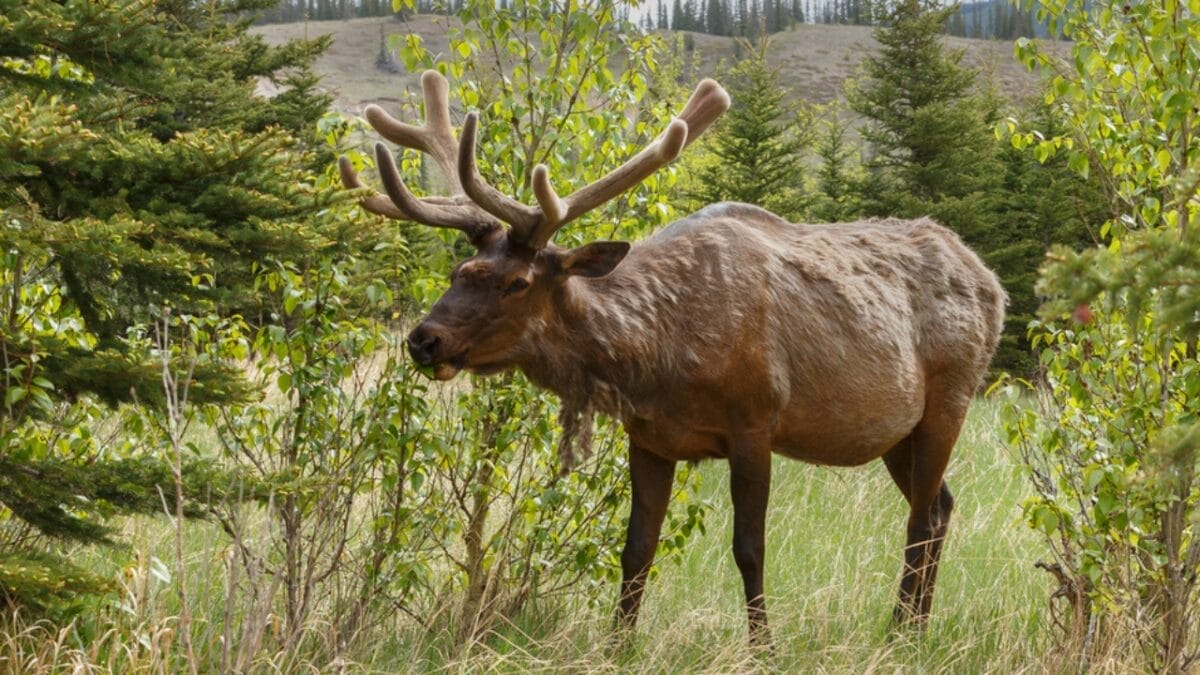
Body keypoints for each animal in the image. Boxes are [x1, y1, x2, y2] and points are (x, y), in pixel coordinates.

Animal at [339, 71, 1006, 645]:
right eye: (459, 270)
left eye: (517, 283)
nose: (424, 340)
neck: (660, 358)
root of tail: (992, 281)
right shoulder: (650, 439)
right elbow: (636, 549)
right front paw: (617, 646)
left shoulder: (755, 421)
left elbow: (749, 548)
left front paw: (762, 648)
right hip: (897, 430)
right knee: (940, 506)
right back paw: (912, 626)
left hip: (951, 396)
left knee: (921, 521)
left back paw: (902, 634)